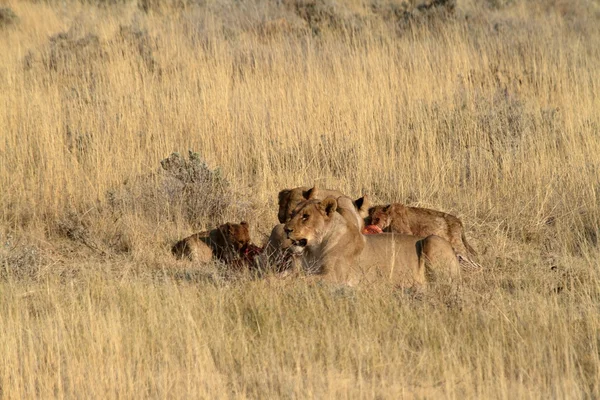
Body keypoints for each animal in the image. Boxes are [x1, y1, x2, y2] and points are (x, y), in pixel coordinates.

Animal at [282, 198, 460, 288]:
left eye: (306, 216)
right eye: (292, 214)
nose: (286, 229)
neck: (314, 249)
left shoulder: (335, 276)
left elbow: (301, 280)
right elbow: (283, 276)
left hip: (432, 240)